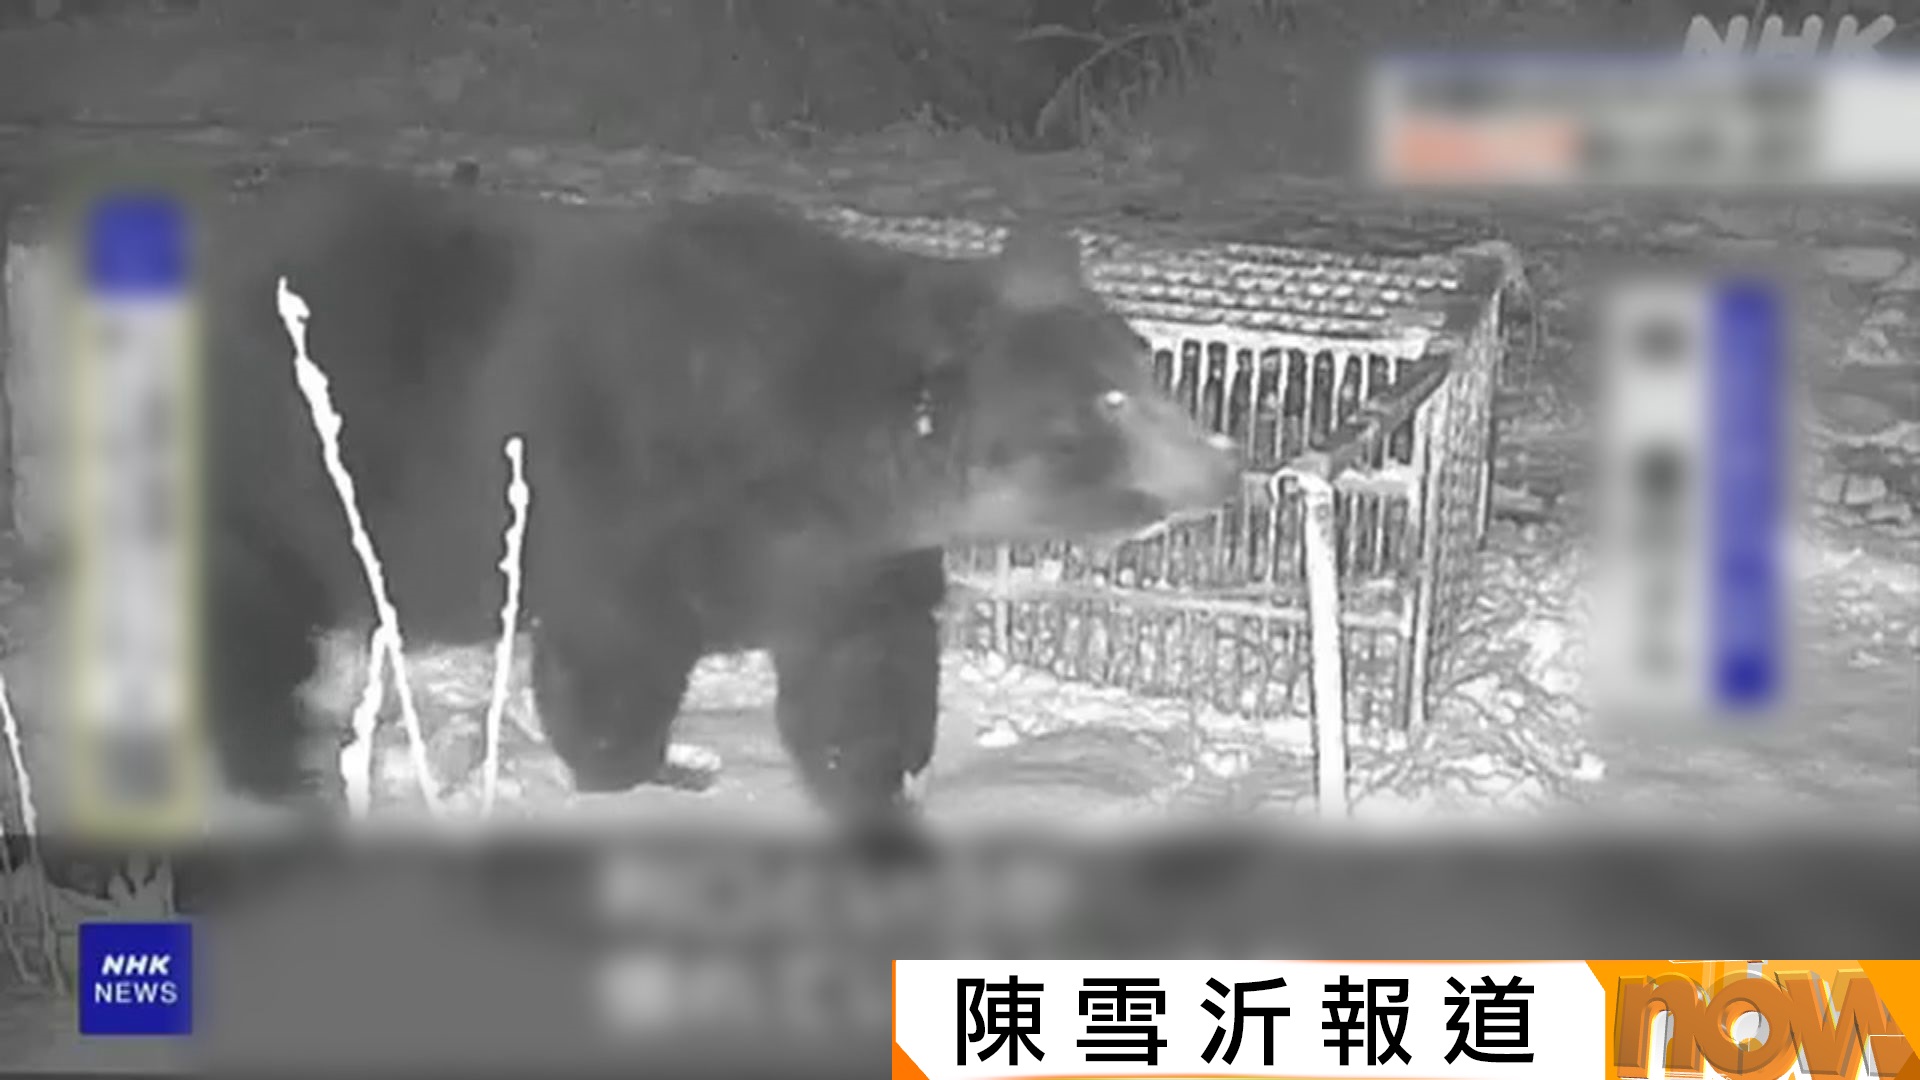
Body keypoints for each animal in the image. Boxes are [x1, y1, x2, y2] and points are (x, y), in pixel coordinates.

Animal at [198, 172, 1240, 825]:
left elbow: (861, 679)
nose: (1227, 466)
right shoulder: (624, 500)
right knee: (248, 638)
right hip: (268, 486)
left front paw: (875, 787)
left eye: (1144, 368)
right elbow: (612, 663)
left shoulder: (848, 562)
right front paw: (646, 776)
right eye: (1105, 401)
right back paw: (281, 773)